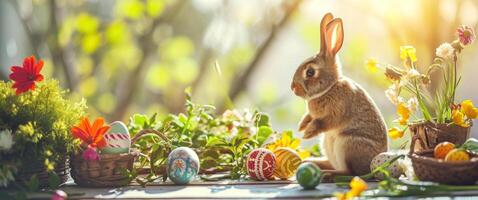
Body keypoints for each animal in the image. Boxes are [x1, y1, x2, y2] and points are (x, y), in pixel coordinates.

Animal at [290, 12, 386, 175]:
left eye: (310, 72)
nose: (293, 88)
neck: (329, 88)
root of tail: (371, 165)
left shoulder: (337, 112)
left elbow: (324, 122)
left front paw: (308, 133)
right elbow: (310, 117)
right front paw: (302, 126)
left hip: (347, 144)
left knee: (350, 172)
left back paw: (327, 174)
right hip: (327, 143)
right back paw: (312, 163)